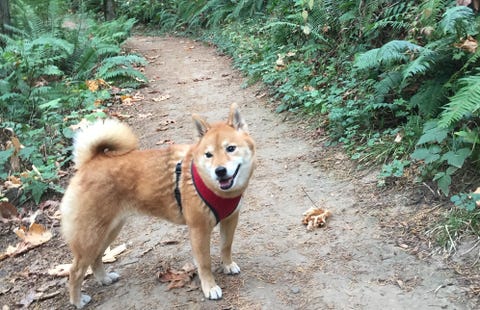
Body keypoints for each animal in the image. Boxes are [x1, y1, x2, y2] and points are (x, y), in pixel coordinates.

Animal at [62, 104, 256, 308]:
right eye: (208, 155)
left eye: (231, 148)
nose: (220, 171)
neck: (215, 188)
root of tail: (89, 162)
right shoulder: (199, 229)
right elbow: (205, 263)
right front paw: (210, 287)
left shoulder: (230, 219)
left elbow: (226, 246)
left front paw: (227, 265)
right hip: (90, 238)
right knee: (75, 271)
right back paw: (77, 300)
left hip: (108, 232)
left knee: (96, 258)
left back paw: (104, 279)